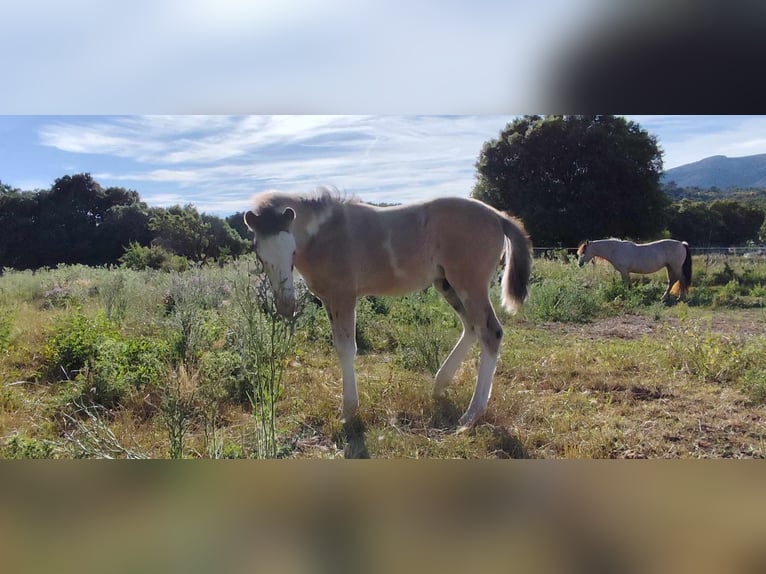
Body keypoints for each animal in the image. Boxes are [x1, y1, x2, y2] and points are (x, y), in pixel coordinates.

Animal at [246, 189, 536, 432]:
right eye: (259, 255)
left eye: (292, 250)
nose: (286, 306)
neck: (325, 234)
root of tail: (497, 216)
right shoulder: (328, 299)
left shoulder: (343, 296)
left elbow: (346, 348)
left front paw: (348, 412)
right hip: (446, 283)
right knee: (472, 327)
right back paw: (440, 385)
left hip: (469, 283)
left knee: (490, 332)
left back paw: (470, 415)